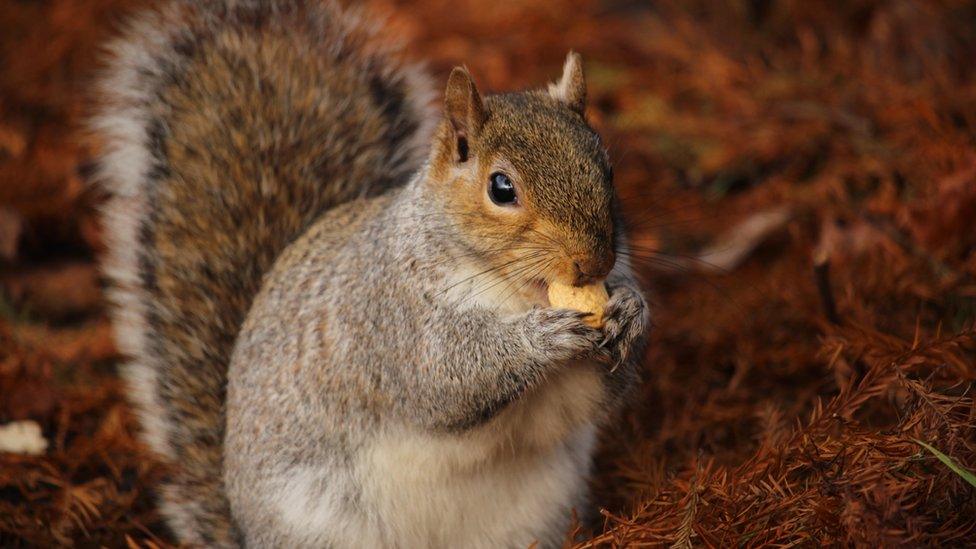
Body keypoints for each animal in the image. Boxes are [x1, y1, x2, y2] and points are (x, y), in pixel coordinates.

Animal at [97, 1, 648, 548]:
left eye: (608, 169)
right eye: (501, 188)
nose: (593, 262)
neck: (511, 293)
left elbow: (586, 400)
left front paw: (630, 311)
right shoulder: (387, 315)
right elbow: (443, 376)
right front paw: (540, 338)